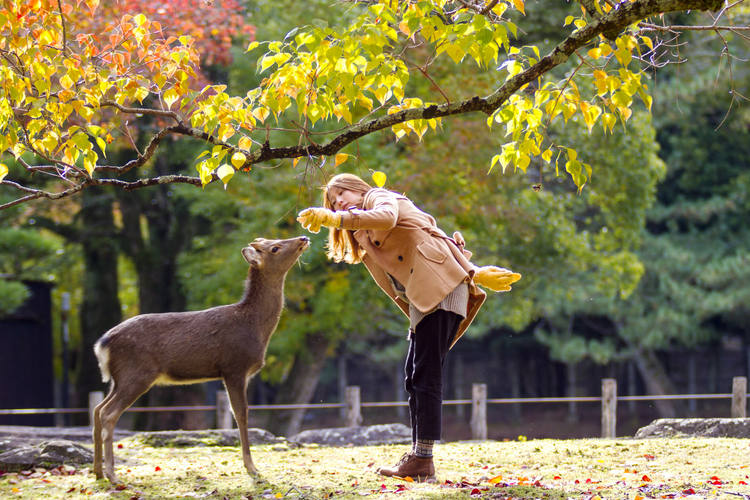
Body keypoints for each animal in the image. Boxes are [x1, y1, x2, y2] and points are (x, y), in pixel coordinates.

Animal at [92, 236, 310, 482]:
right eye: (275, 248)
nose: (303, 238)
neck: (255, 327)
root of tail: (102, 344)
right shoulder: (234, 366)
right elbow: (241, 414)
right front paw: (252, 468)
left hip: (118, 379)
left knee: (97, 409)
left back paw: (98, 472)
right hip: (137, 373)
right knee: (108, 413)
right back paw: (112, 474)